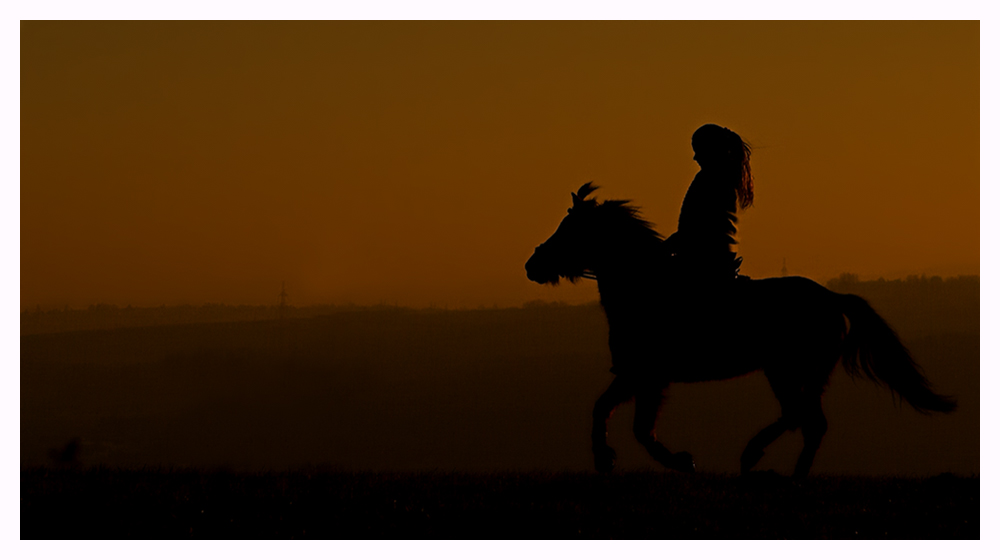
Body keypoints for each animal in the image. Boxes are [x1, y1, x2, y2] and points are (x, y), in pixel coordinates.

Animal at [524, 183, 952, 476]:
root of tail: (831, 297)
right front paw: (608, 459)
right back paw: (788, 472)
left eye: (570, 229)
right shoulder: (636, 374)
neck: (647, 287)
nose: (532, 265)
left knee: (800, 417)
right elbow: (605, 410)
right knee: (810, 422)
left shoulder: (647, 375)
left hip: (787, 370)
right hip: (801, 374)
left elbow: (639, 428)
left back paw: (754, 456)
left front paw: (678, 461)